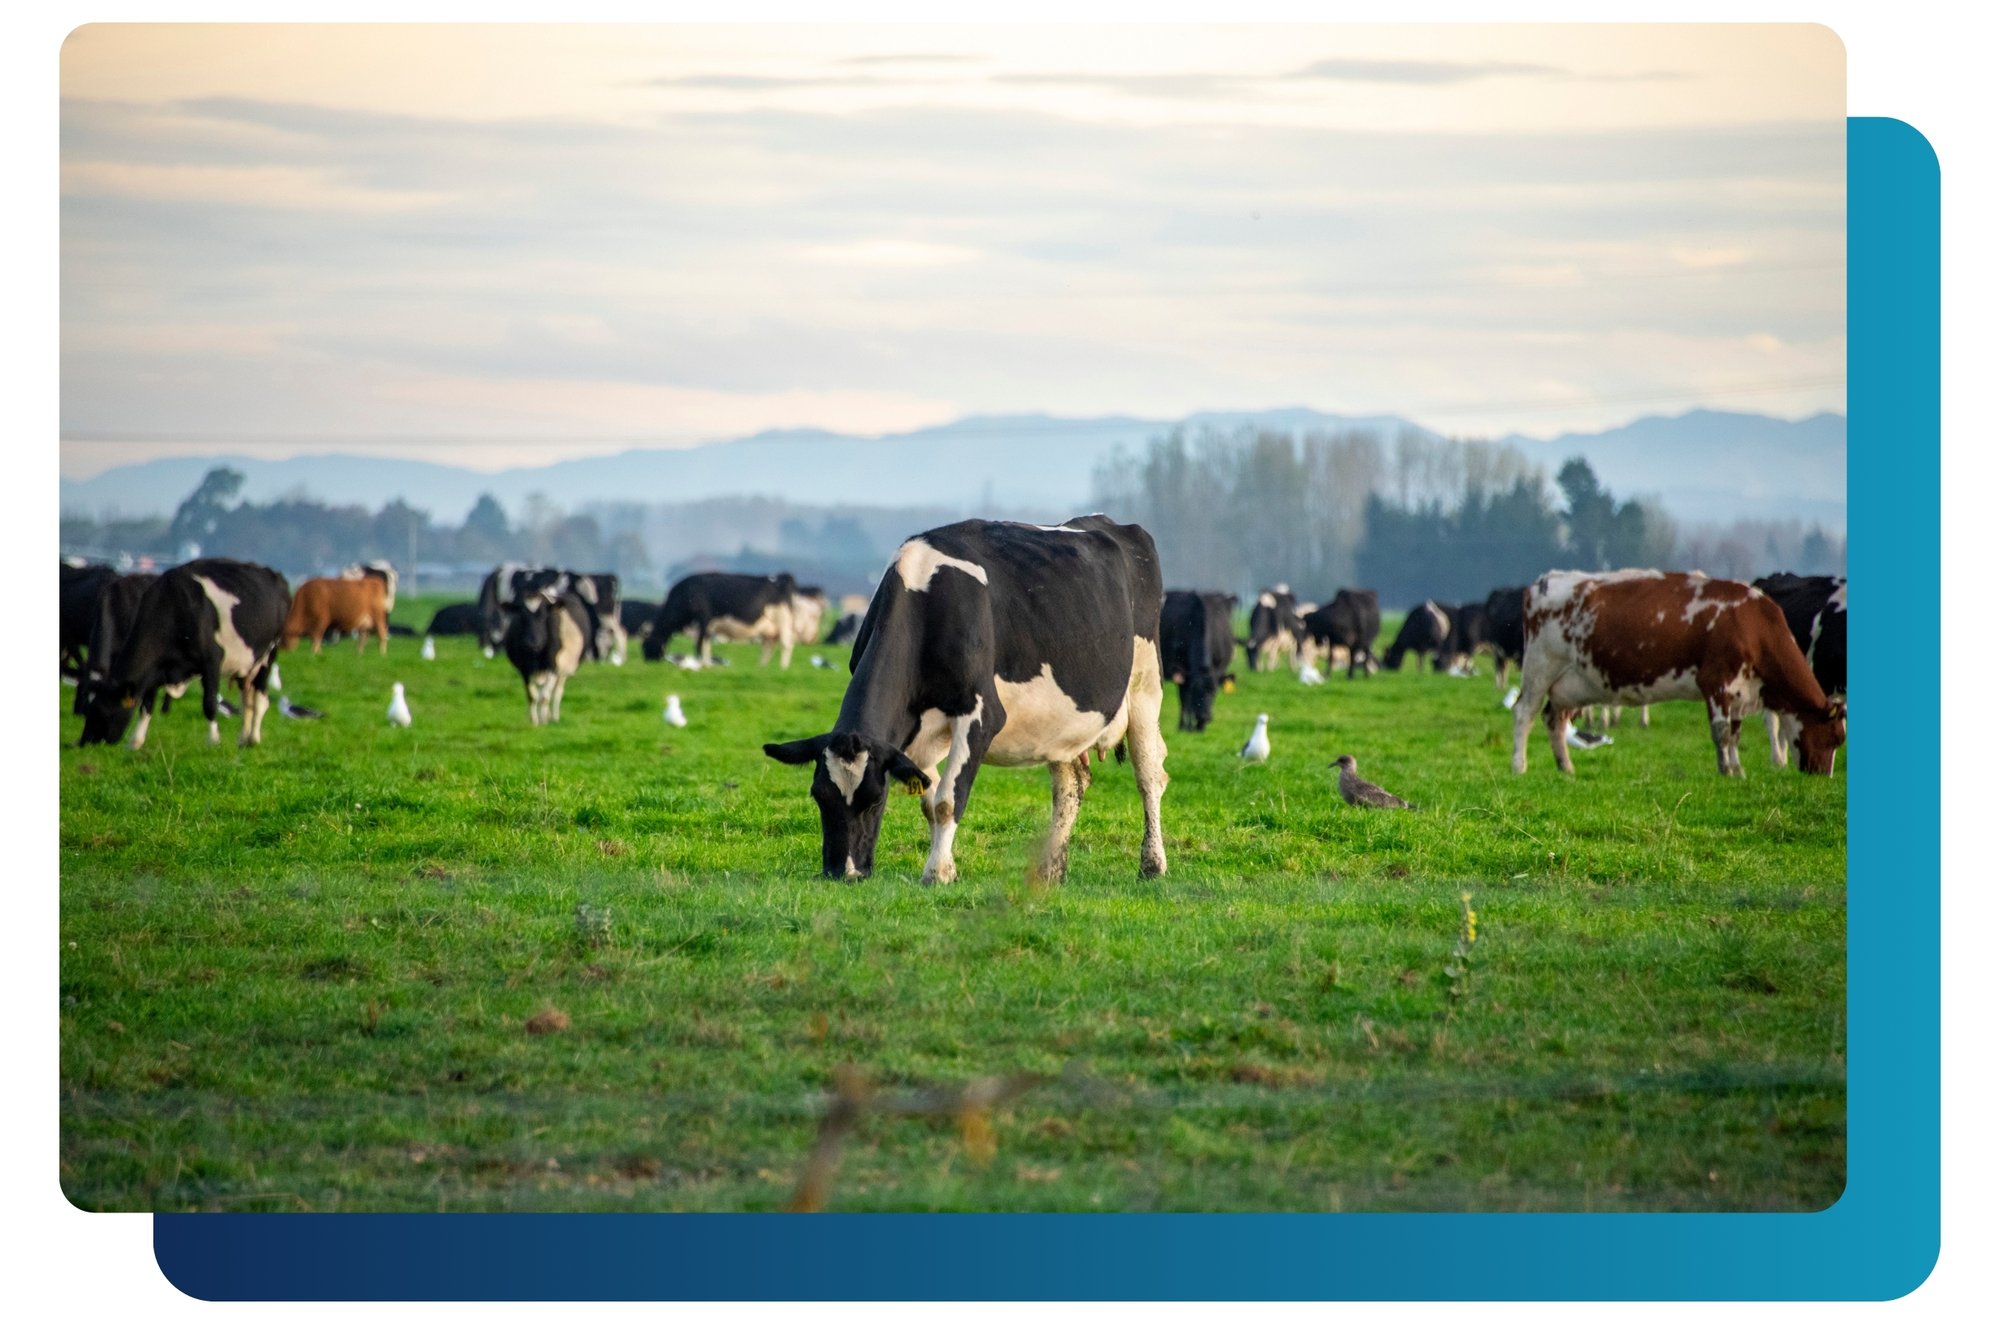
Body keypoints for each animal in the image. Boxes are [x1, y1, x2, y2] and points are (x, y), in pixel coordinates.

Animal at [78, 558, 290, 750]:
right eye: (86, 711)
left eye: (102, 712)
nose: (83, 742)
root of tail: (272, 572)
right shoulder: (156, 668)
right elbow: (146, 704)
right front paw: (136, 742)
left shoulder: (211, 660)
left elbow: (209, 703)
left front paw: (213, 741)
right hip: (246, 663)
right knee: (246, 698)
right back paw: (243, 739)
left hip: (268, 654)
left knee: (259, 699)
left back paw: (253, 738)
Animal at [502, 586, 592, 725]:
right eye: (522, 616)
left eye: (544, 616)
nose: (532, 642)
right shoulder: (524, 669)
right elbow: (532, 696)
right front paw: (534, 721)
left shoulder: (552, 667)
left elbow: (545, 697)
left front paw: (543, 721)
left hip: (563, 670)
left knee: (556, 692)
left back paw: (554, 717)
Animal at [642, 571, 804, 668]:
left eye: (647, 646)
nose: (647, 662)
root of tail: (782, 576)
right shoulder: (707, 625)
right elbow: (706, 644)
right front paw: (707, 663)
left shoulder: (704, 619)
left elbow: (699, 644)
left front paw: (700, 663)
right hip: (769, 627)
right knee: (768, 645)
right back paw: (761, 667)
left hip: (783, 620)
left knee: (786, 644)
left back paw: (783, 668)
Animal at [763, 515, 1169, 885]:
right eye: (818, 795)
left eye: (876, 798)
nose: (843, 872)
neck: (927, 596)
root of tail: (1110, 524)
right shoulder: (915, 732)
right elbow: (929, 802)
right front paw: (948, 868)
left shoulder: (981, 716)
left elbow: (947, 801)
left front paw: (937, 874)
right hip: (1063, 722)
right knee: (1071, 787)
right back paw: (1048, 872)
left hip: (1145, 687)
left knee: (1149, 776)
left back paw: (1152, 865)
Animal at [1160, 589, 1238, 732]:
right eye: (1196, 691)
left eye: (1214, 691)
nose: (1205, 716)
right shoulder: (1184, 671)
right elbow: (1185, 698)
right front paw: (1184, 726)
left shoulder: (1219, 668)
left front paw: (1199, 727)